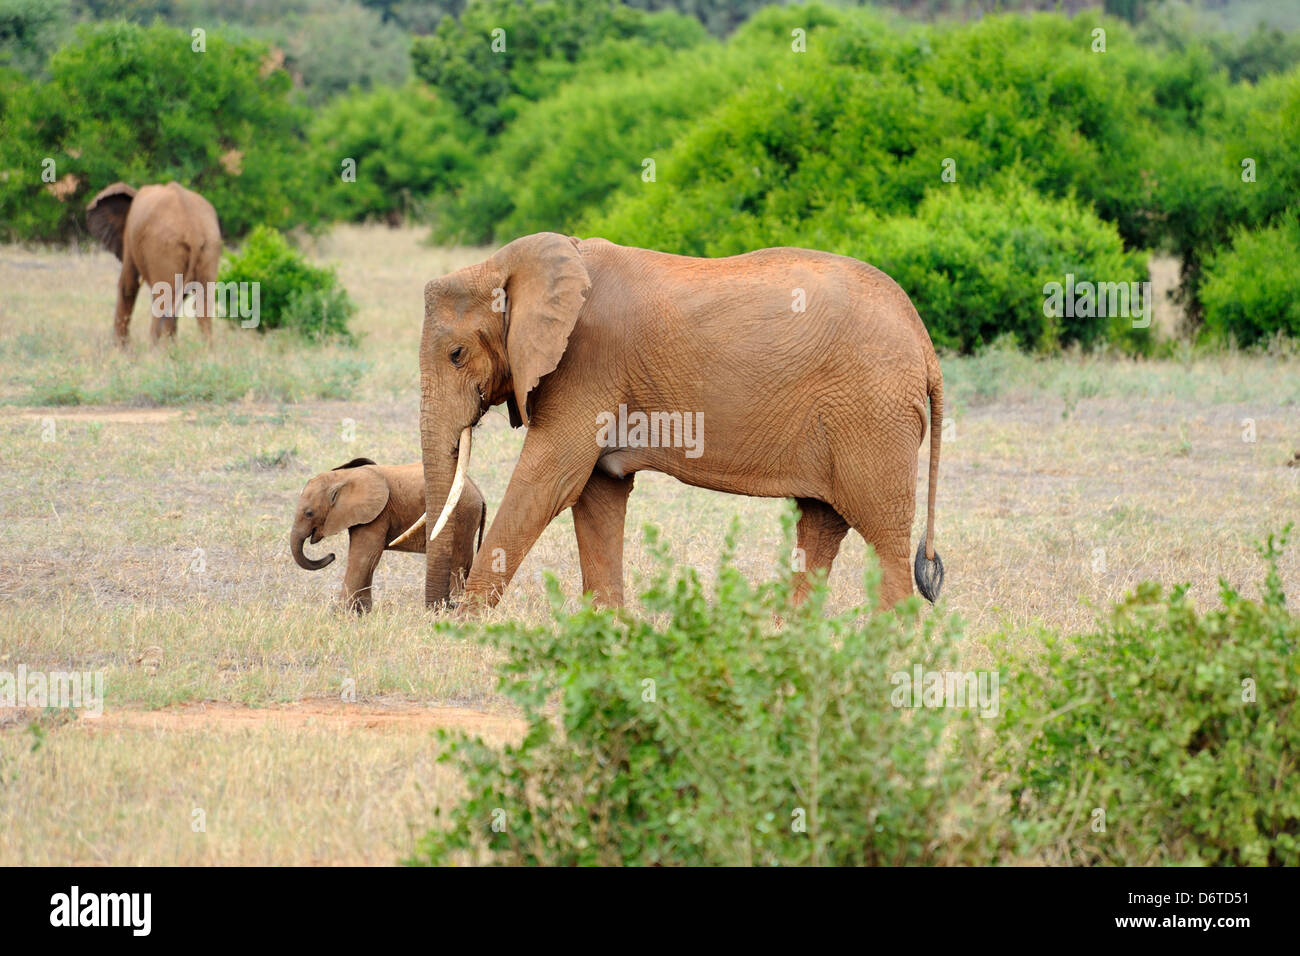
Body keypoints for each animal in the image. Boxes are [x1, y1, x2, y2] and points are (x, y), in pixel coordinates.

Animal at [85, 180, 220, 345]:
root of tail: (193, 232)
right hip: (209, 247)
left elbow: (128, 285)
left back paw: (157, 350)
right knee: (202, 301)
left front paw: (120, 349)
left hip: (164, 247)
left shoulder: (130, 237)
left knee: (163, 299)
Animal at [289, 457, 488, 613]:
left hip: (462, 516)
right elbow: (366, 558)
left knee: (458, 563)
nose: (331, 555)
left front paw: (341, 613)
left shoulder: (379, 513)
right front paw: (362, 612)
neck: (343, 477)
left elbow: (364, 556)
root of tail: (479, 492)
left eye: (309, 513)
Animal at [392, 231, 946, 613]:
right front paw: (607, 631)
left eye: (456, 354)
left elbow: (550, 480)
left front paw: (464, 627)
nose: (438, 609)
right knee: (821, 524)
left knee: (883, 536)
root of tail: (924, 342)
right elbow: (597, 494)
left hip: (873, 413)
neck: (509, 264)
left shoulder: (585, 364)